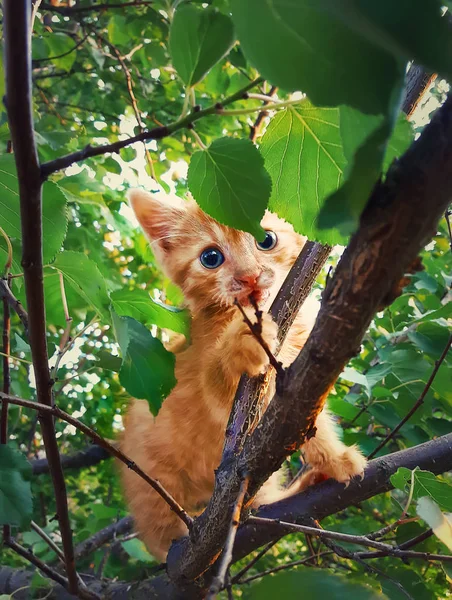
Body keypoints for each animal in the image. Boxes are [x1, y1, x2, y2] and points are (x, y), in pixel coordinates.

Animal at [120, 190, 368, 560]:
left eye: (266, 239)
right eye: (211, 257)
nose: (249, 276)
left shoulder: (303, 376)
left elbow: (308, 422)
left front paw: (333, 459)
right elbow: (218, 380)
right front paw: (243, 341)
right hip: (152, 480)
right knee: (160, 538)